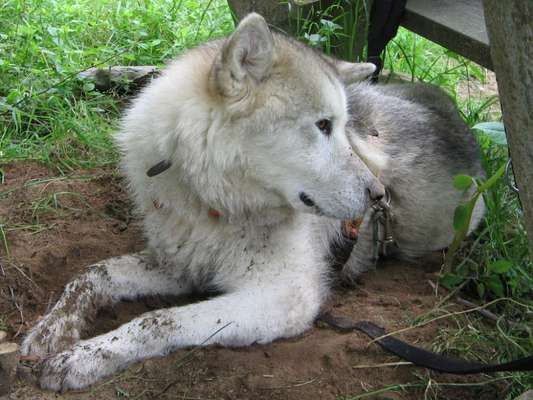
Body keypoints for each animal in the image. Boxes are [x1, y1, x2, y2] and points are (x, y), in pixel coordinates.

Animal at [22, 13, 484, 390]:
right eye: (323, 125)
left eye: (343, 126)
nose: (379, 195)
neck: (212, 202)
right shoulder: (184, 265)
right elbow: (93, 274)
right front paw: (51, 331)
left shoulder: (283, 296)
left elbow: (157, 319)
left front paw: (81, 358)